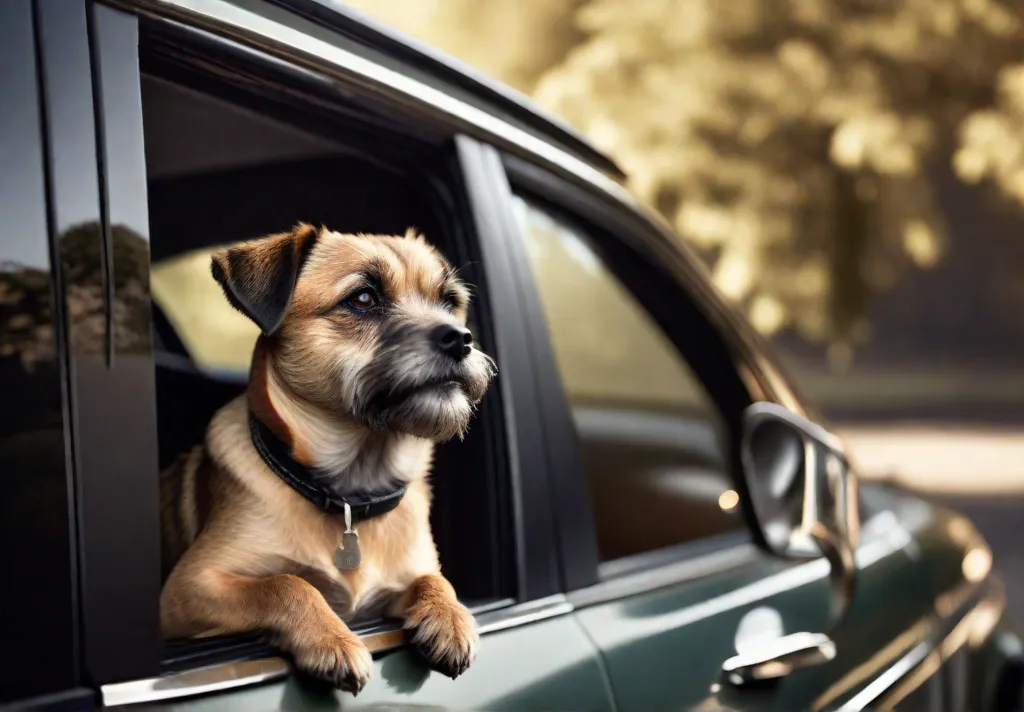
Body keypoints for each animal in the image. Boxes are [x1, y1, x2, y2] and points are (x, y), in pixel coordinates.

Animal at [155, 221, 495, 692]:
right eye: (363, 299)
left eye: (449, 302)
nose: (460, 339)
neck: (353, 489)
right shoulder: (191, 586)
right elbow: (286, 583)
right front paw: (332, 640)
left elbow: (434, 578)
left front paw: (450, 617)